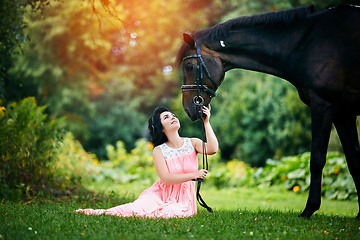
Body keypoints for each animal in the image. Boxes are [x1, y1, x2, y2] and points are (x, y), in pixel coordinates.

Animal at [176, 4, 360, 219]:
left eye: (189, 66)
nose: (188, 108)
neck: (307, 42)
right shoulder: (343, 114)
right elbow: (354, 160)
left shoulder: (323, 106)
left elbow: (317, 158)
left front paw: (309, 209)